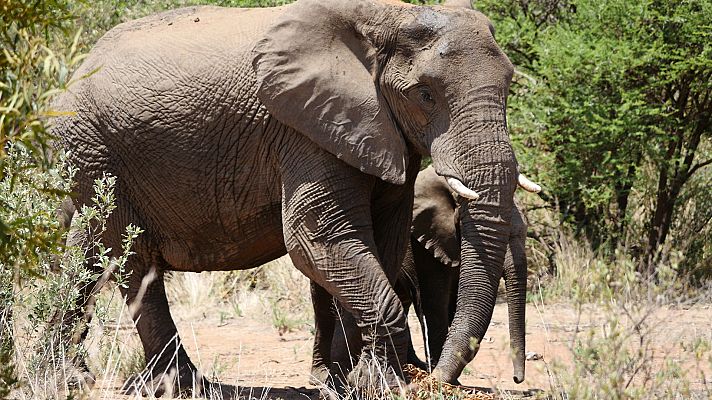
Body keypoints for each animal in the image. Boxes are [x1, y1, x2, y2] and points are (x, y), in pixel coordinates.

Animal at [311, 166, 533, 388]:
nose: (516, 379)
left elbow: (454, 304)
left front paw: (449, 380)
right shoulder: (424, 242)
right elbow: (434, 303)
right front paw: (443, 379)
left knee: (401, 301)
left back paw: (412, 365)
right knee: (324, 302)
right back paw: (321, 376)